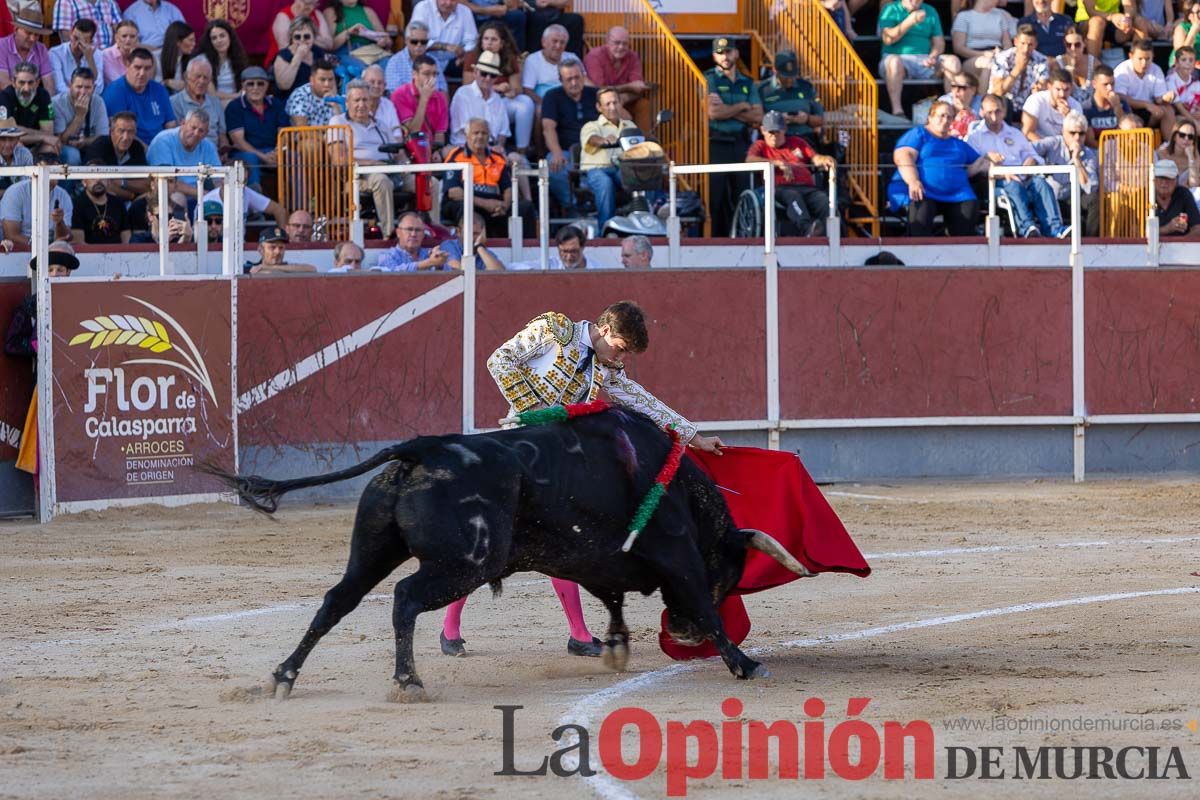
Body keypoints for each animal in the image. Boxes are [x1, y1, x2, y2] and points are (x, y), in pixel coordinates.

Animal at [211, 410, 811, 695]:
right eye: (727, 572)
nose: (680, 635)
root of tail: (425, 448)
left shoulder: (596, 558)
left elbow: (610, 597)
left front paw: (614, 647)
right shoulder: (677, 553)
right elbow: (708, 610)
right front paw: (744, 663)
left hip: (374, 550)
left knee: (338, 599)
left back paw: (283, 676)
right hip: (467, 561)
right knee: (405, 598)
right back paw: (409, 681)